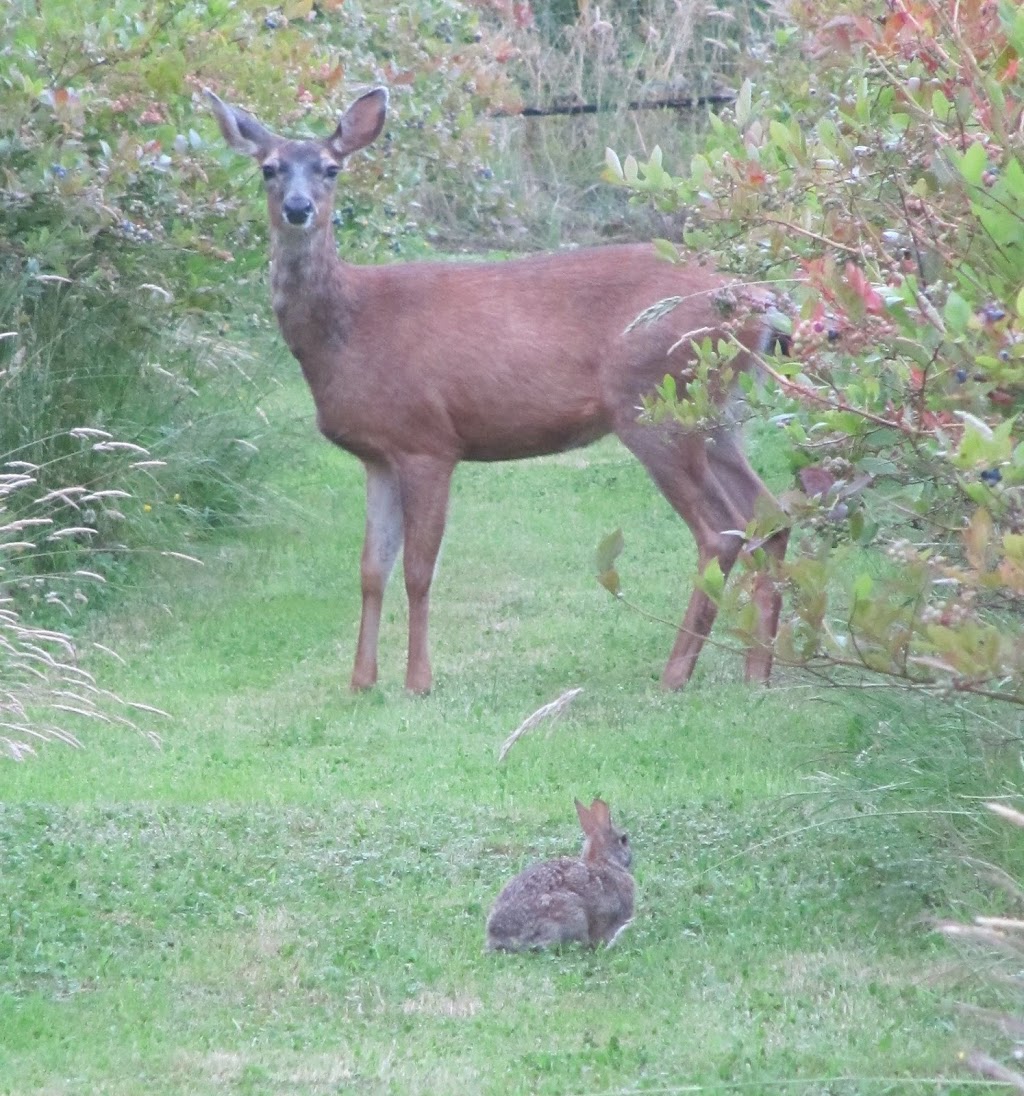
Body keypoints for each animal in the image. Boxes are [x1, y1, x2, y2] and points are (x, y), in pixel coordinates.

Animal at [203, 85, 789, 692]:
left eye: (331, 168)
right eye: (269, 168)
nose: (299, 208)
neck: (351, 328)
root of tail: (762, 301)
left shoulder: (427, 440)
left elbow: (418, 569)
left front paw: (418, 681)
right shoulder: (378, 455)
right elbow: (370, 569)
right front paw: (361, 682)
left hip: (655, 403)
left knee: (720, 531)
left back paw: (675, 673)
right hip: (719, 415)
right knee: (770, 517)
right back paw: (758, 671)